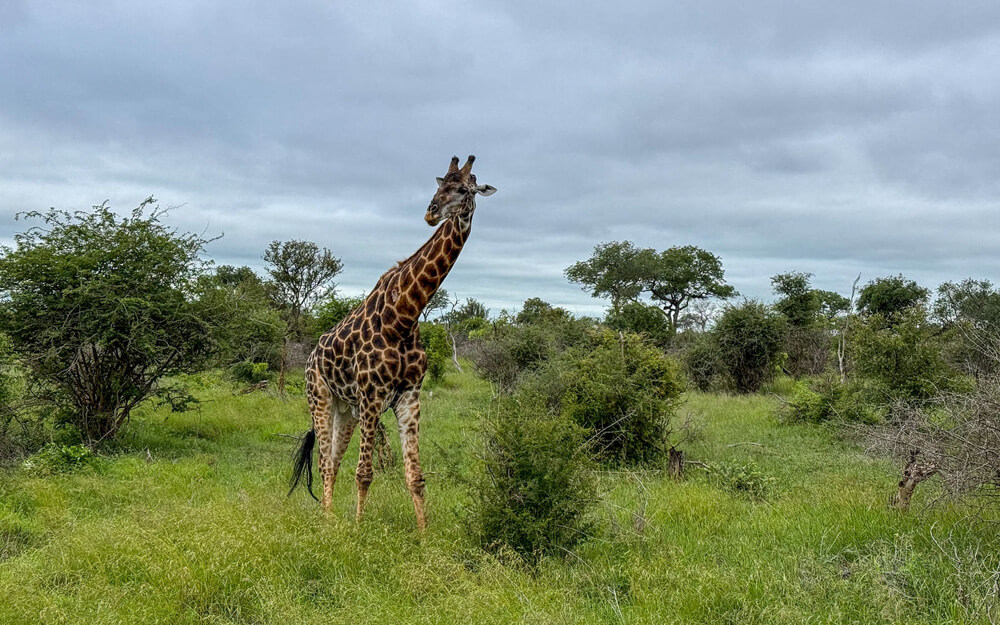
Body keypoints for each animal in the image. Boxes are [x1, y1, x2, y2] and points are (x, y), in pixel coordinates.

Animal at [289, 155, 496, 531]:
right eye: (440, 185)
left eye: (463, 189)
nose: (431, 212)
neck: (405, 315)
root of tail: (311, 356)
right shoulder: (372, 395)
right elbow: (365, 473)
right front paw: (358, 531)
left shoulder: (409, 395)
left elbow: (415, 476)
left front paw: (425, 535)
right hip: (319, 397)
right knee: (325, 462)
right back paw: (328, 523)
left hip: (347, 409)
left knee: (332, 463)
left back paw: (330, 518)